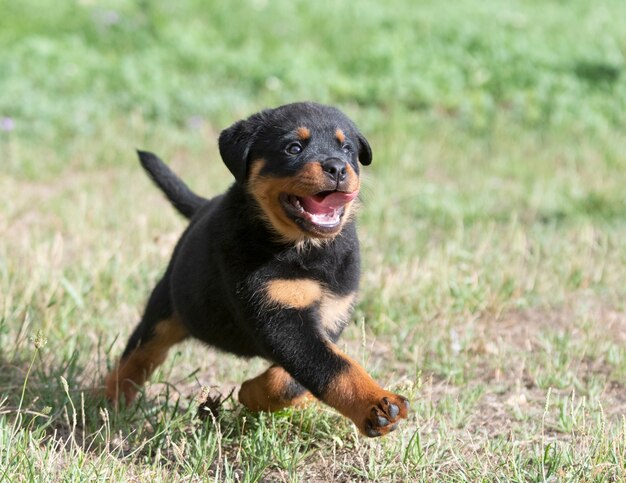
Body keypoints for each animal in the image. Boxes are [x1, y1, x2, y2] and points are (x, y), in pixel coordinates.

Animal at [106, 103, 410, 438]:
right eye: (293, 148)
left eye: (347, 149)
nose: (338, 167)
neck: (305, 249)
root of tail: (203, 207)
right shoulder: (276, 314)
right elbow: (333, 367)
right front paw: (377, 403)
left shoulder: (330, 313)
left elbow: (295, 376)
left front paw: (252, 394)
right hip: (167, 307)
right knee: (140, 354)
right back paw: (110, 399)